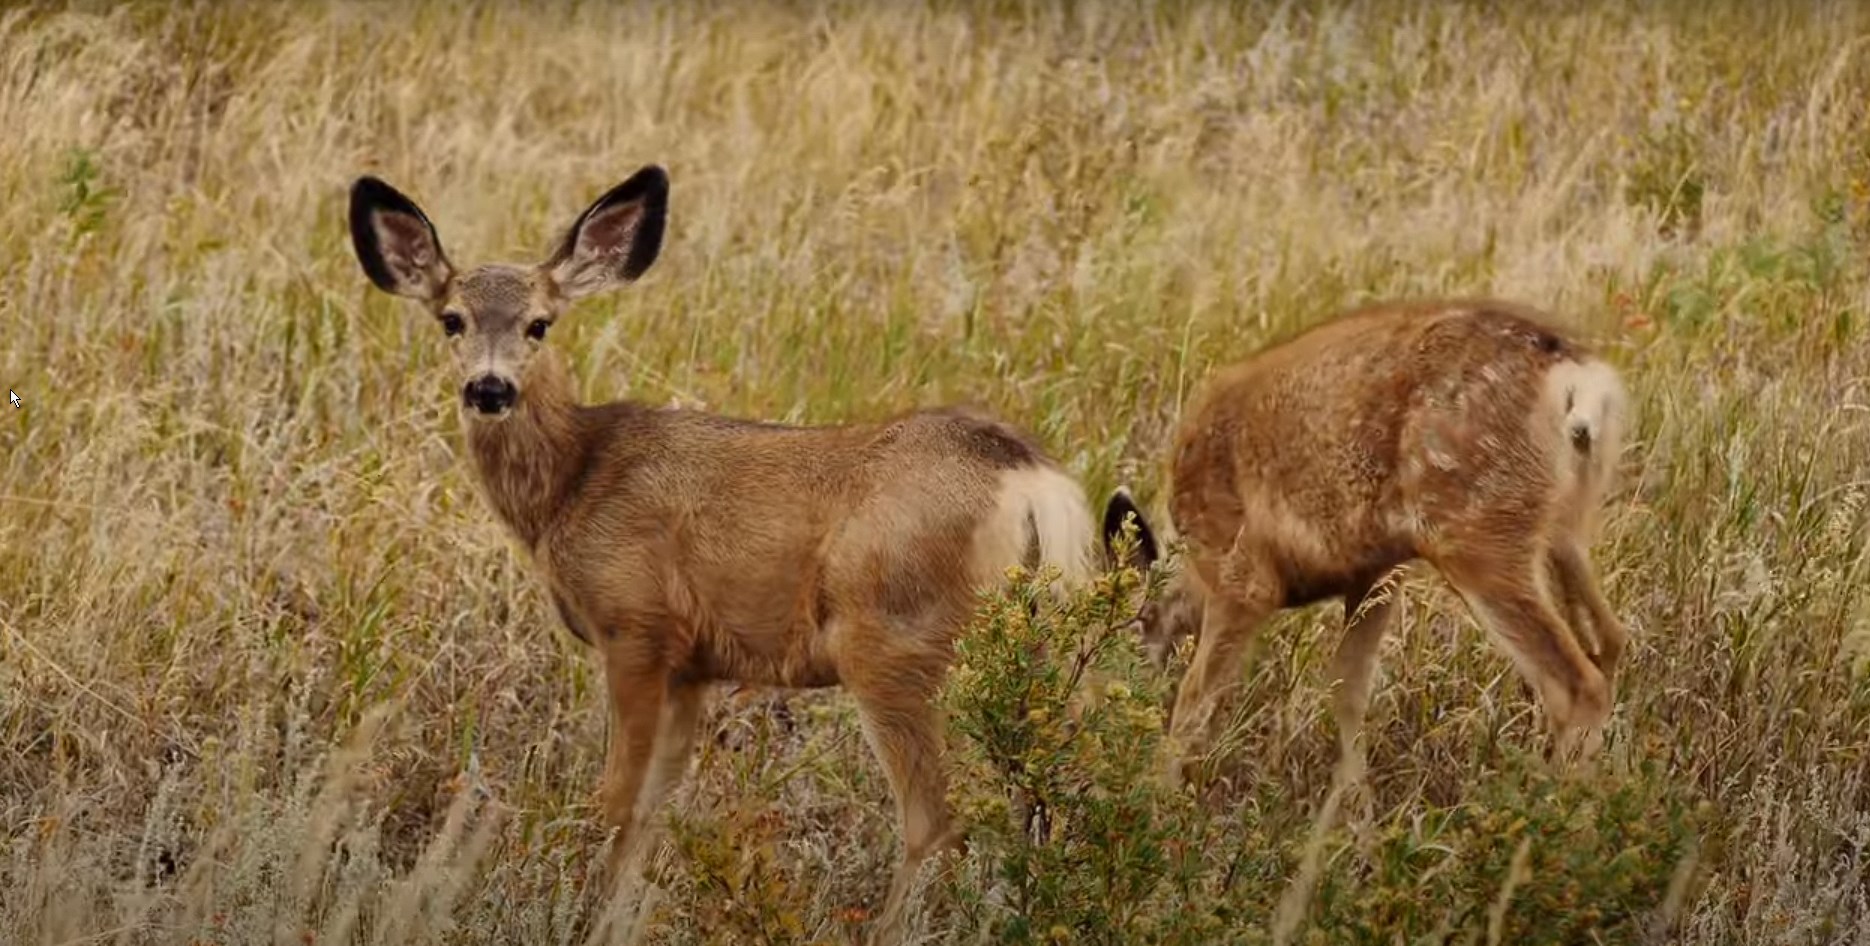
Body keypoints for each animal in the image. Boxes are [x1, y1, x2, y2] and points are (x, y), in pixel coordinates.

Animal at [345, 165, 1098, 939]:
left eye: (539, 323)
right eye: (452, 320)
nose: (490, 388)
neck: (572, 482)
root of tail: (1028, 478)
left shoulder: (636, 625)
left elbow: (616, 802)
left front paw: (587, 917)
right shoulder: (692, 665)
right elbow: (651, 813)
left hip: (895, 641)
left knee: (935, 821)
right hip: (1048, 647)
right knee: (1056, 801)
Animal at [1099, 299, 1631, 789]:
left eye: (1123, 634)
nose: (1104, 706)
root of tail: (1582, 384)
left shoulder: (1242, 575)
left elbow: (1194, 701)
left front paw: (1158, 802)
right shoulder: (1376, 571)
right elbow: (1348, 692)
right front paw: (1351, 817)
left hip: (1476, 531)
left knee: (1577, 685)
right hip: (1563, 530)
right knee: (1609, 640)